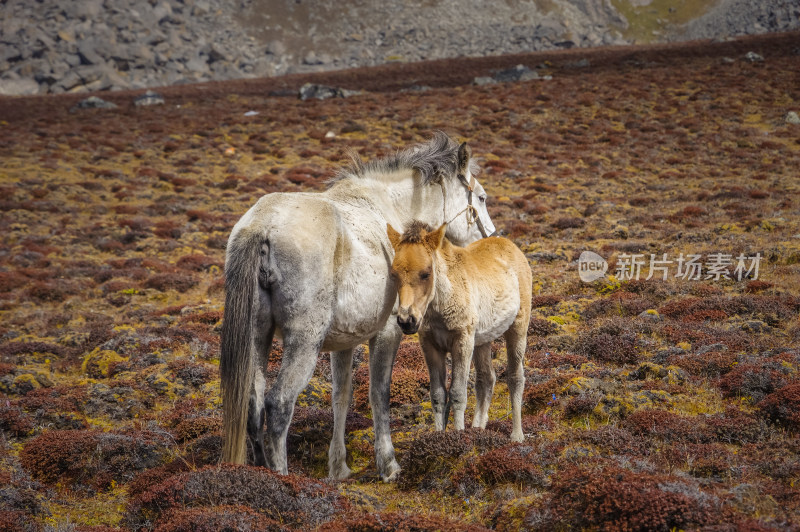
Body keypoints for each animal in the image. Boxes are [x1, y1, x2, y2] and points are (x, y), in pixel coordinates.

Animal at [219, 134, 494, 482]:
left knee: (254, 404)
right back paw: (282, 478)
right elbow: (379, 394)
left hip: (259, 338)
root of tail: (263, 226)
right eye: (481, 198)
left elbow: (341, 397)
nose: (491, 238)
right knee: (279, 403)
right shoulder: (388, 333)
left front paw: (338, 467)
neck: (389, 212)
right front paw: (388, 464)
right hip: (304, 343)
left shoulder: (343, 344)